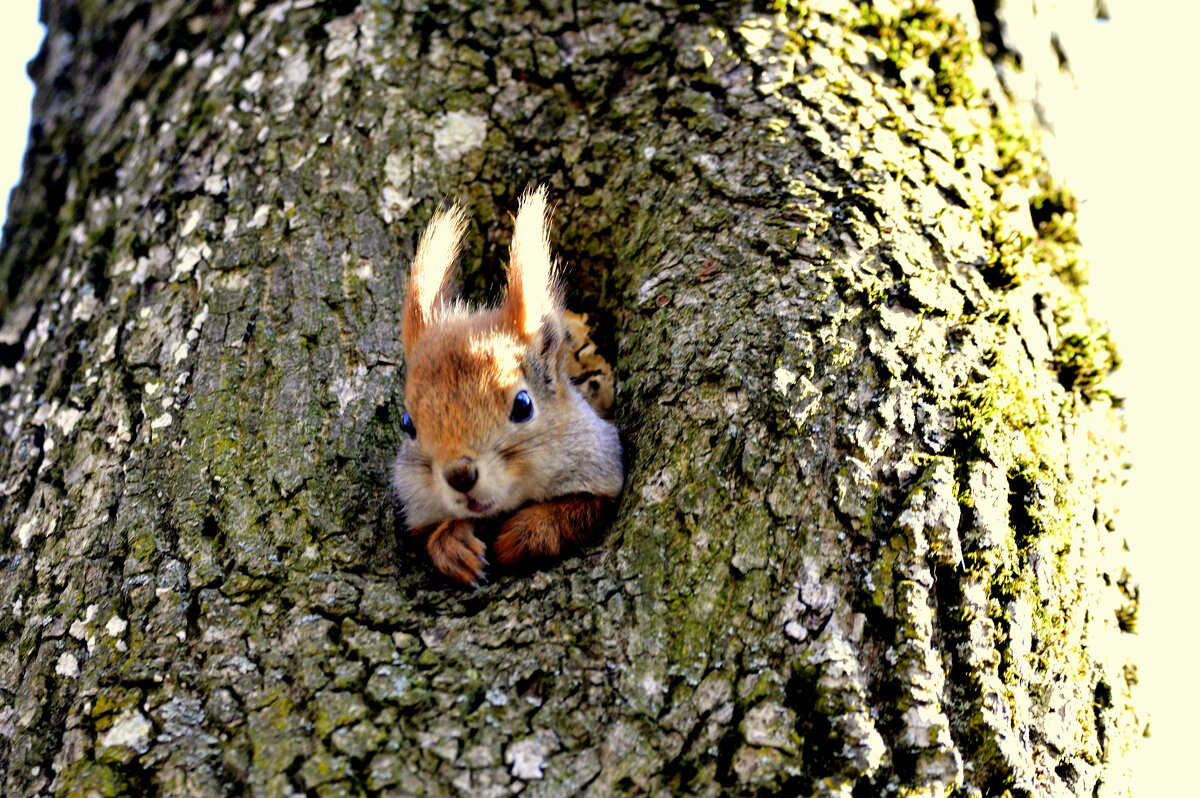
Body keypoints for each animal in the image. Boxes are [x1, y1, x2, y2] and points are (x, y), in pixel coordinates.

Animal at [391, 187, 624, 585]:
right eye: (408, 425)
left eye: (523, 405)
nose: (460, 474)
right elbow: (430, 534)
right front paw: (453, 545)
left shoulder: (601, 464)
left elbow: (580, 510)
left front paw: (524, 534)